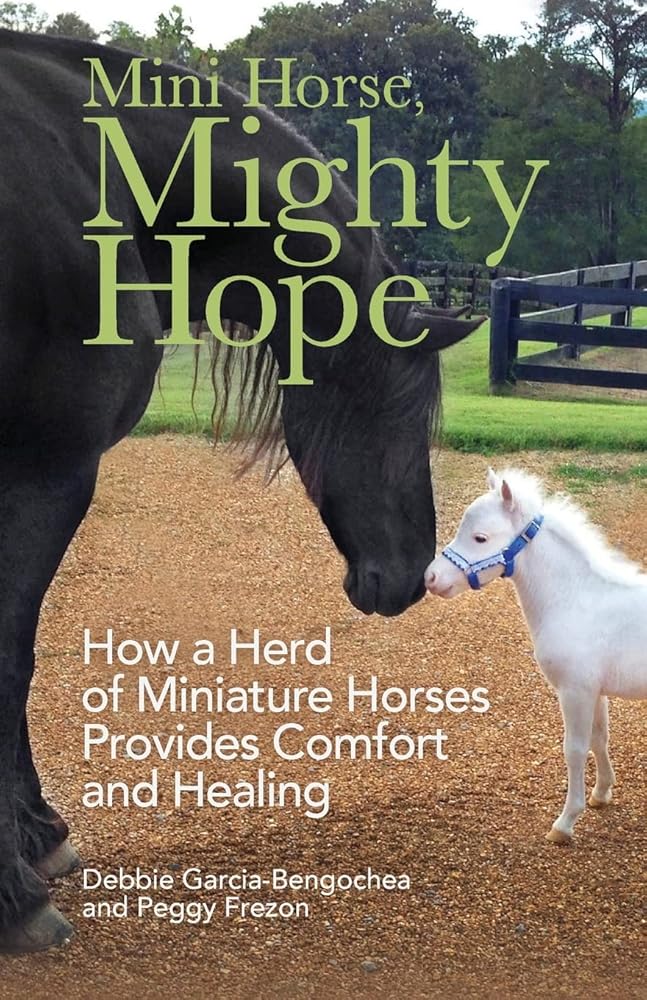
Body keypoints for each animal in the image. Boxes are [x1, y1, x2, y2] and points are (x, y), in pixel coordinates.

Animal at [0, 29, 483, 951]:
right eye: (399, 406)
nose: (410, 576)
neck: (104, 173)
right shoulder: (44, 473)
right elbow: (11, 659)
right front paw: (16, 894)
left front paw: (38, 838)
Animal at [425, 468, 647, 844]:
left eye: (480, 538)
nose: (431, 578)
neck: (577, 600)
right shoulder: (595, 692)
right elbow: (599, 739)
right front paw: (602, 793)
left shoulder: (575, 691)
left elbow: (574, 749)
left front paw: (565, 823)